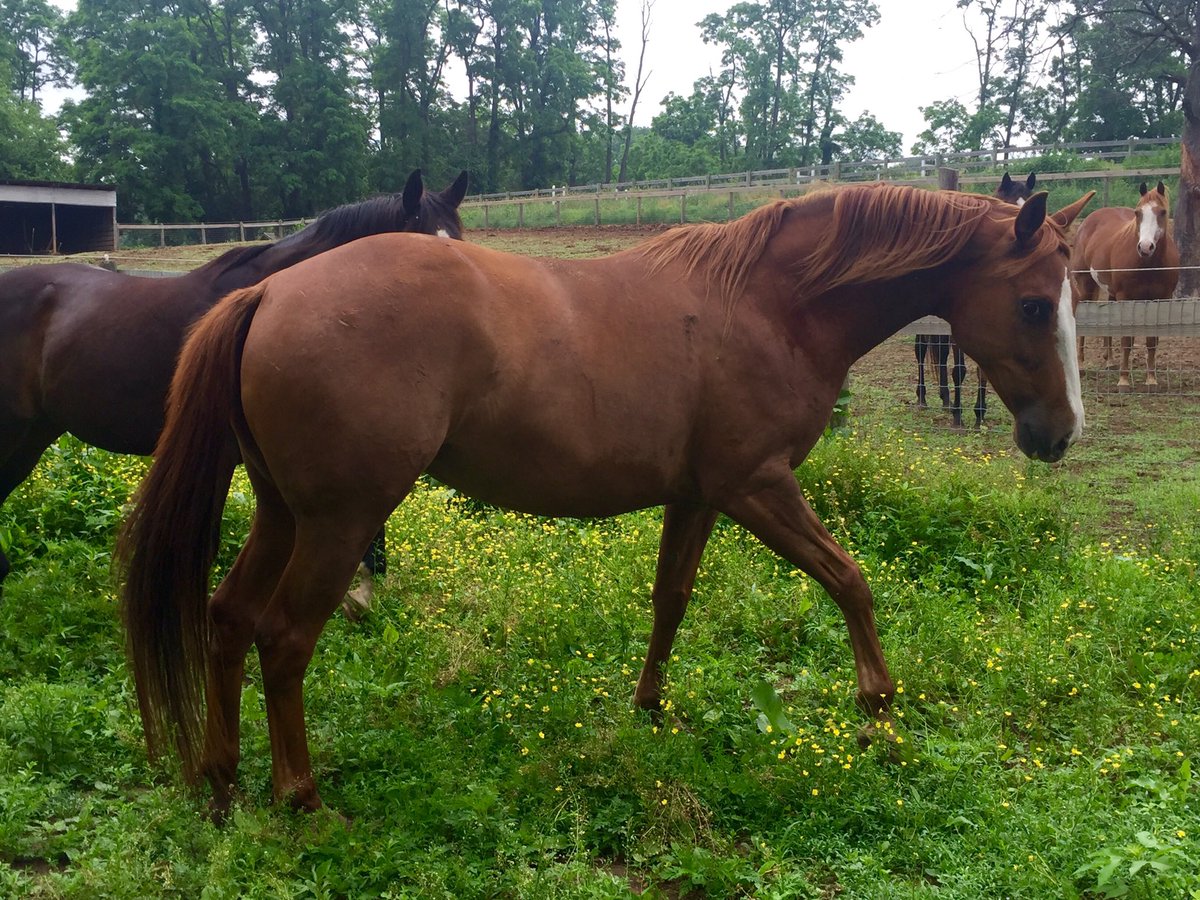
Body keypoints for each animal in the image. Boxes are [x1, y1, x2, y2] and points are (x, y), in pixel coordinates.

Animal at [913, 172, 1038, 427]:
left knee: (940, 355)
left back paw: (944, 398)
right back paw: (923, 398)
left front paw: (979, 413)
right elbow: (959, 370)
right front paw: (959, 416)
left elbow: (982, 371)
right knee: (921, 351)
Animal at [1071, 181, 1179, 391]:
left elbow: (1151, 341)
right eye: (1138, 213)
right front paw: (1123, 381)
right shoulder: (1126, 298)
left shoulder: (1161, 298)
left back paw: (1110, 361)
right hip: (1086, 285)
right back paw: (1080, 366)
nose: (1145, 247)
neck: (1148, 264)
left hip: (1112, 294)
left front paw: (1151, 379)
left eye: (1162, 212)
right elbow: (1126, 340)